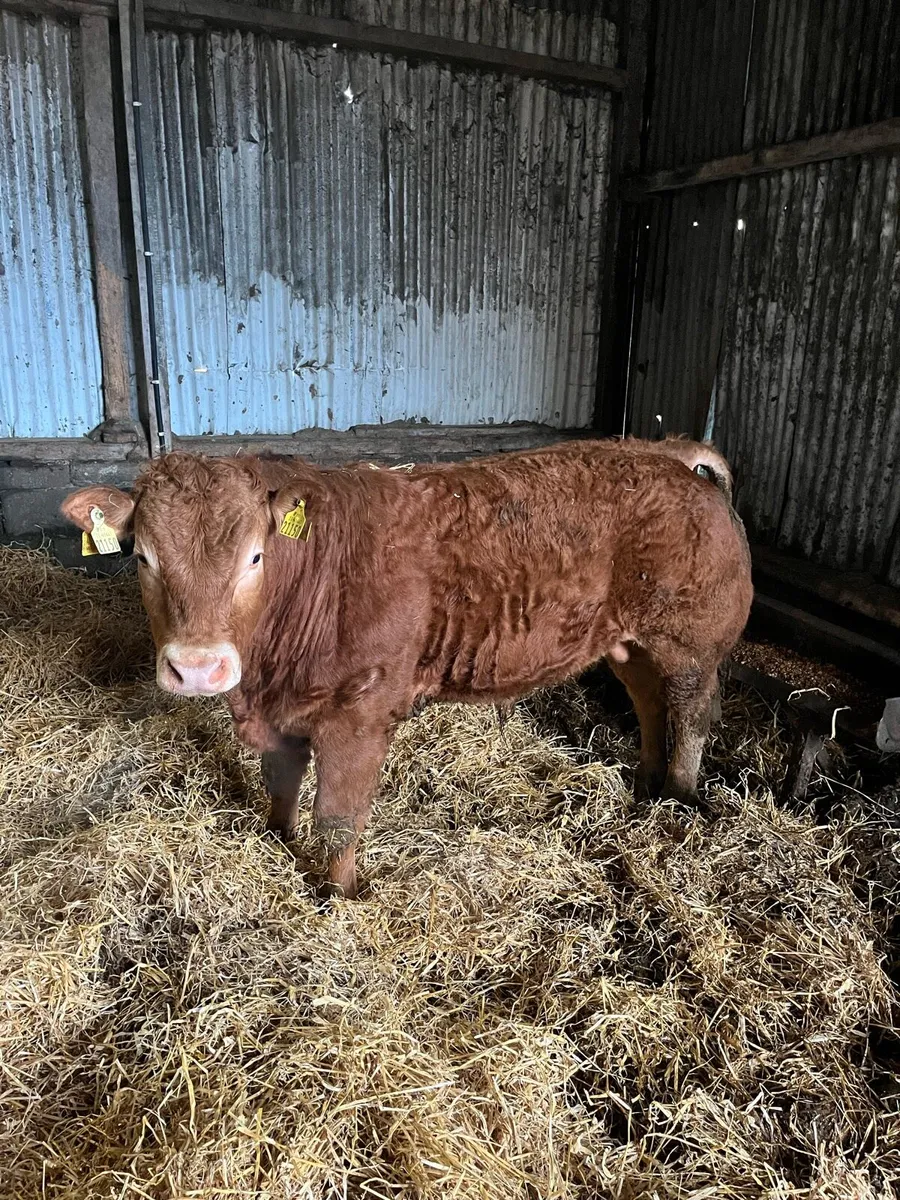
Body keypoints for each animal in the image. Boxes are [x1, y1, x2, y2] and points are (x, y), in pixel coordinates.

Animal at [61, 437, 752, 898]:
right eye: (143, 557)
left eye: (255, 556)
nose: (199, 668)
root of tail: (666, 452)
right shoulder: (282, 711)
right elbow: (281, 785)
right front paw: (276, 842)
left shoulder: (360, 714)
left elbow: (338, 820)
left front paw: (337, 897)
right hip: (628, 643)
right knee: (649, 703)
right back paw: (648, 786)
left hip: (689, 641)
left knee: (691, 712)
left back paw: (679, 796)